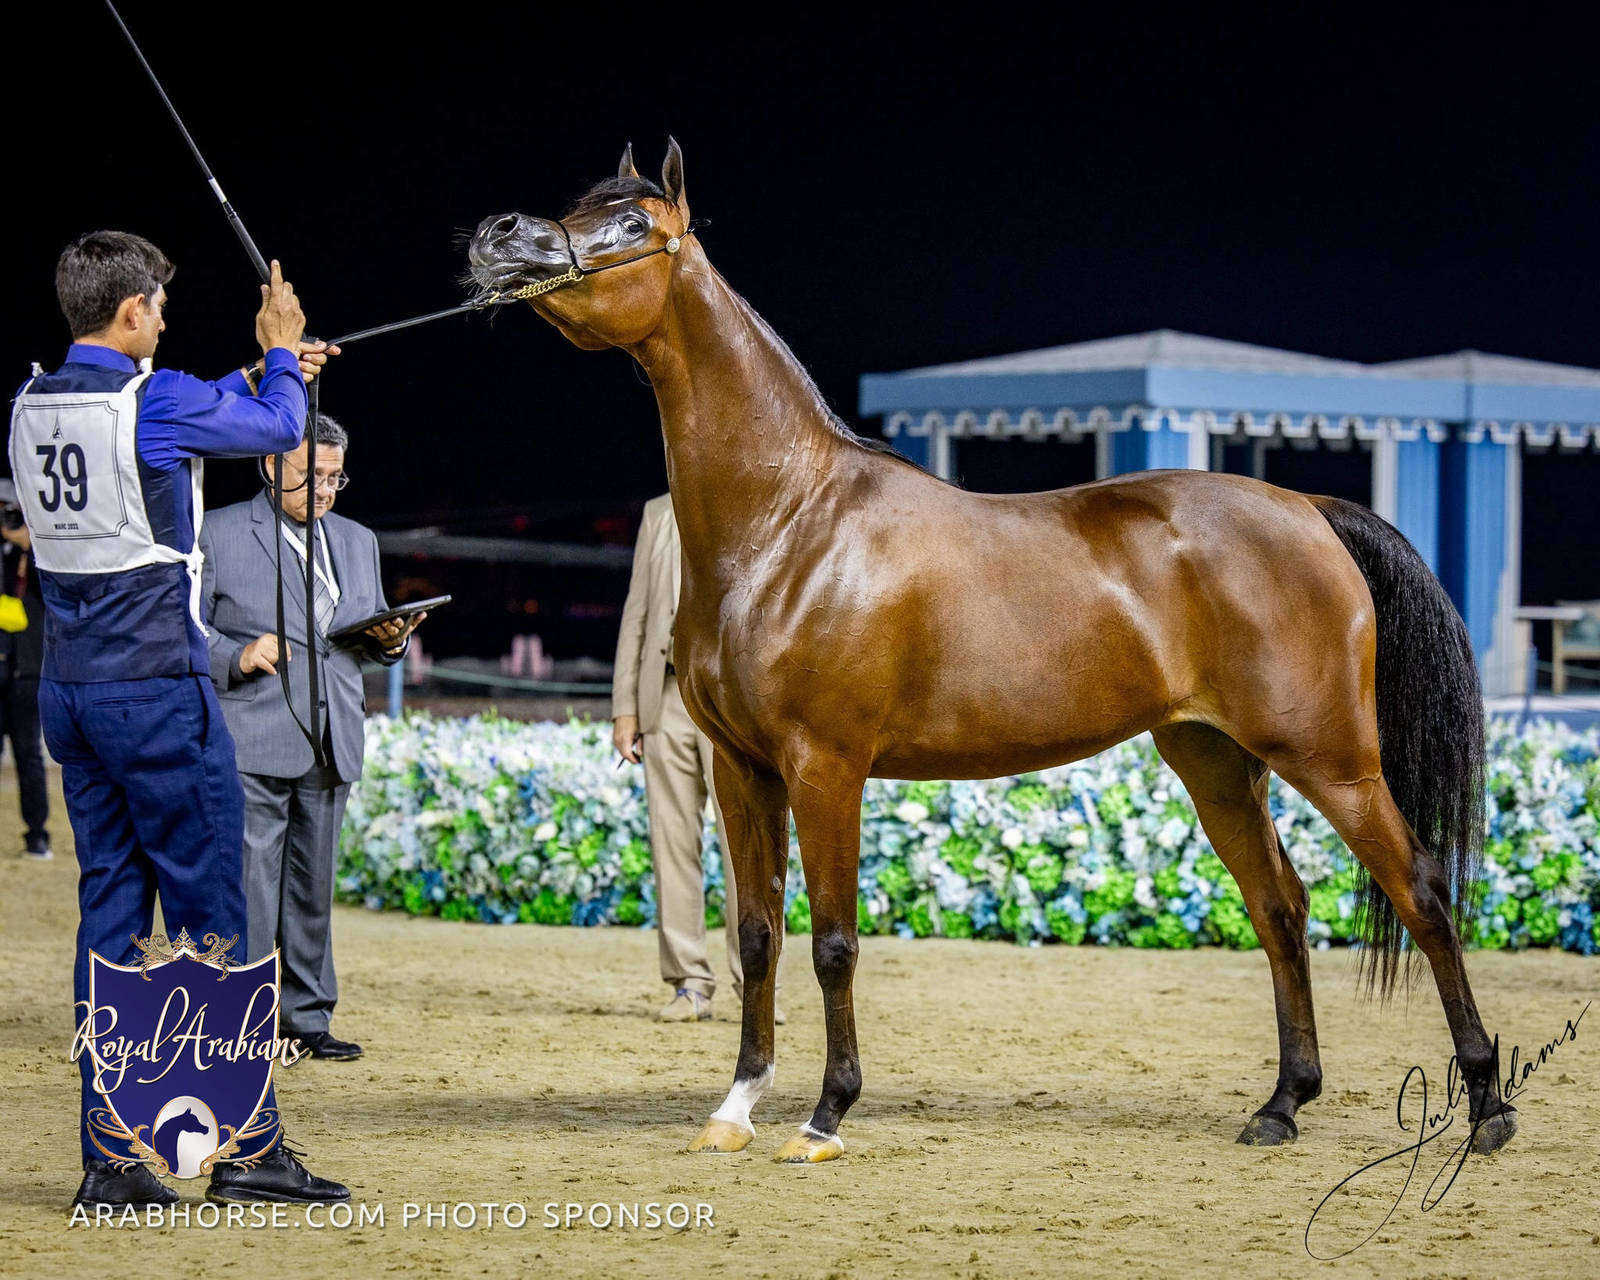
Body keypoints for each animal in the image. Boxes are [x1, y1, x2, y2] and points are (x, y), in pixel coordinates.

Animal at [466, 140, 1515, 1164]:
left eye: (633, 222)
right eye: (582, 201)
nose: (497, 234)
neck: (790, 520)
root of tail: (1309, 510)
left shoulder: (825, 767)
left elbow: (834, 941)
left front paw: (826, 1116)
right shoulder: (741, 769)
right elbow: (759, 936)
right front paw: (736, 1106)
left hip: (1330, 759)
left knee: (1422, 893)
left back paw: (1486, 1109)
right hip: (1217, 762)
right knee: (1282, 910)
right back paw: (1282, 1106)